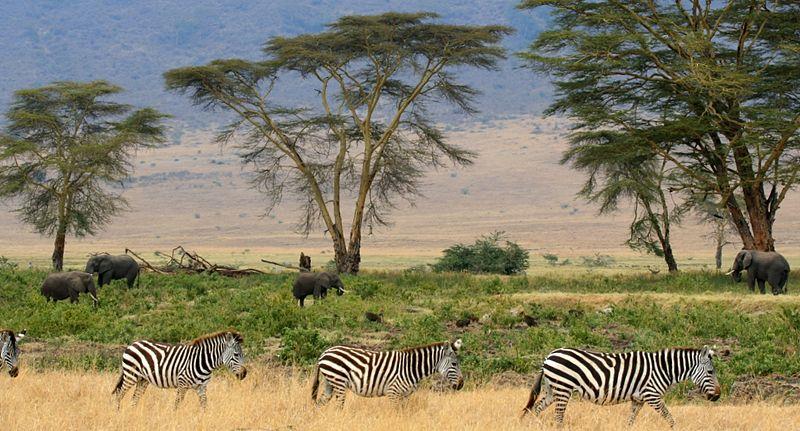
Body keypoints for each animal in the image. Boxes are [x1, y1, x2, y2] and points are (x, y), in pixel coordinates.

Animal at [111, 330, 245, 408]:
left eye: (242, 355)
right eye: (236, 355)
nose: (244, 374)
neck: (202, 361)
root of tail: (132, 344)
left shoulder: (202, 387)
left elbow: (204, 406)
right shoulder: (182, 384)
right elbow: (177, 405)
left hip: (143, 380)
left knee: (134, 399)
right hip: (131, 376)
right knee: (119, 394)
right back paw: (118, 413)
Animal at [310, 340, 466, 406]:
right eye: (454, 364)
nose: (461, 385)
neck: (411, 368)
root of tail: (323, 354)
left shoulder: (404, 396)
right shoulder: (393, 392)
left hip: (330, 382)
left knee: (320, 403)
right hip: (338, 381)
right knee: (339, 405)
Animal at [520, 348, 720, 428]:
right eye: (710, 372)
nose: (717, 396)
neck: (662, 370)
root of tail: (549, 356)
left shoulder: (638, 399)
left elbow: (630, 421)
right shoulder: (652, 396)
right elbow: (670, 418)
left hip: (553, 389)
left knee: (536, 409)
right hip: (563, 388)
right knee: (559, 417)